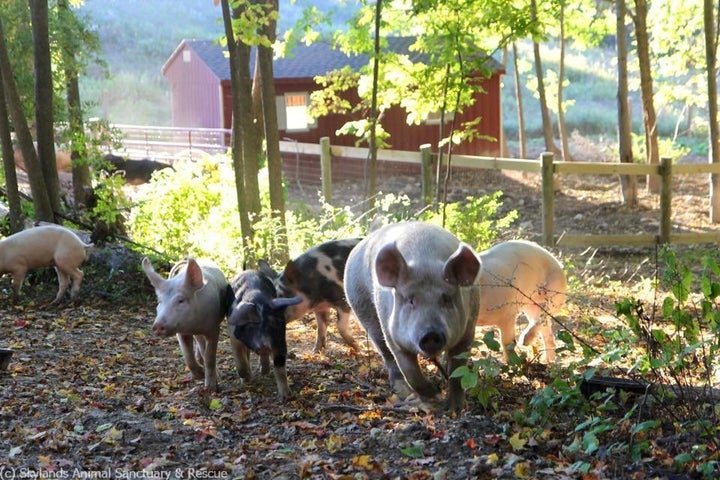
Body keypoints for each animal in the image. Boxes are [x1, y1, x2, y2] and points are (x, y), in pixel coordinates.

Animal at [142, 256, 238, 392]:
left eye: (181, 300)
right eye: (159, 302)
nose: (157, 326)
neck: (193, 325)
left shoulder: (214, 328)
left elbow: (210, 356)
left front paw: (210, 388)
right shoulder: (181, 332)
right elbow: (187, 356)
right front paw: (200, 375)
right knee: (200, 345)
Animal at [344, 222, 480, 412]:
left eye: (446, 299)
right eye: (410, 300)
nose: (431, 334)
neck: (425, 259)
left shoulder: (469, 328)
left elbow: (458, 372)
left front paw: (454, 409)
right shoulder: (392, 334)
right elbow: (410, 371)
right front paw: (434, 393)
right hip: (361, 306)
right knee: (385, 352)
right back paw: (402, 391)